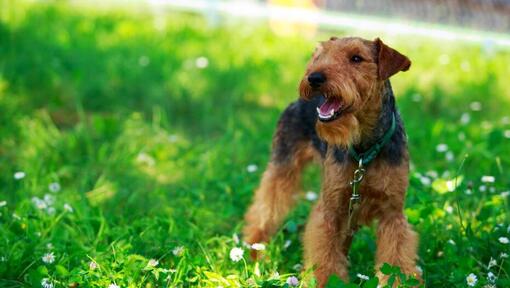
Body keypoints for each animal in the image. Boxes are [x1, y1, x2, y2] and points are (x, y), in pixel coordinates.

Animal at [245, 36, 420, 286]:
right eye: (323, 55)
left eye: (356, 58)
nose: (314, 78)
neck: (364, 147)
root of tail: (299, 100)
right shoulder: (331, 209)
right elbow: (325, 257)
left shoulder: (392, 213)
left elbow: (396, 260)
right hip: (283, 166)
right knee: (264, 209)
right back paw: (254, 251)